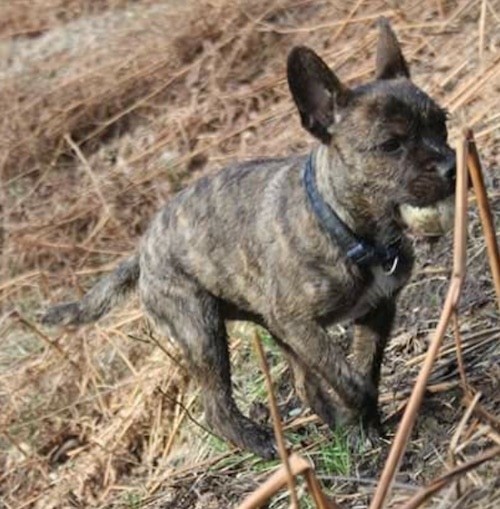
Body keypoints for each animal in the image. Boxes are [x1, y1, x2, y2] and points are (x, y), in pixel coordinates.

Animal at [44, 18, 458, 456]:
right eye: (391, 145)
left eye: (442, 124)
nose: (451, 166)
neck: (344, 226)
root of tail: (142, 251)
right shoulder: (301, 325)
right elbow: (348, 379)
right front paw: (358, 424)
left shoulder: (375, 310)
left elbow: (364, 370)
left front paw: (366, 428)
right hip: (201, 330)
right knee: (218, 407)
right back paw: (267, 445)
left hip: (265, 326)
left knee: (304, 386)